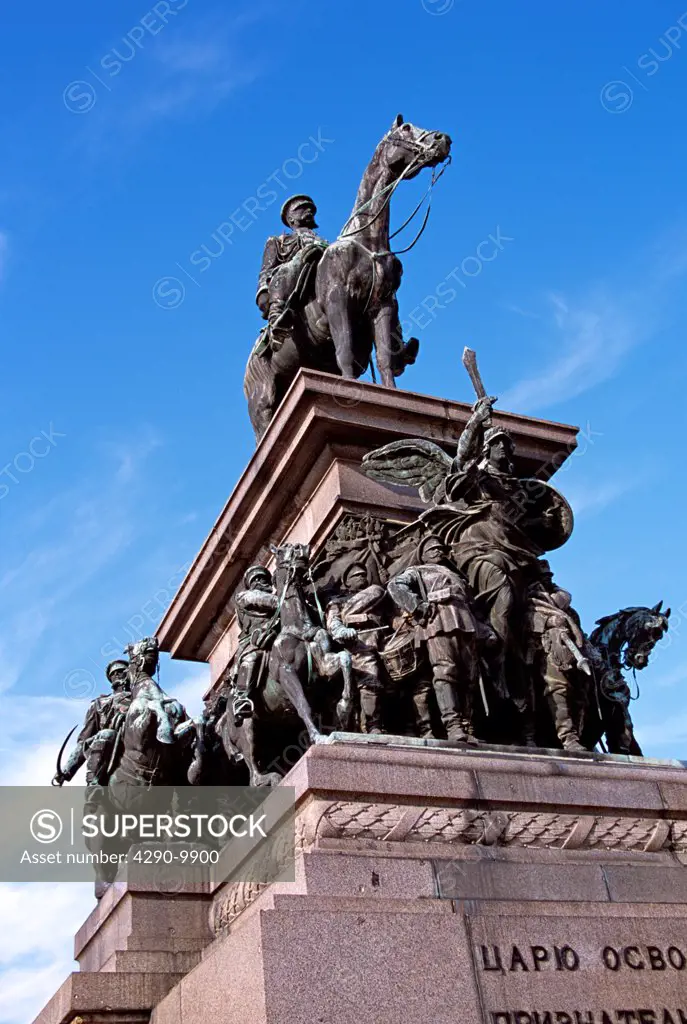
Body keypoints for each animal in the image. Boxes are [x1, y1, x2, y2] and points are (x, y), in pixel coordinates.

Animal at [244, 115, 454, 436]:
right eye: (406, 129)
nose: (442, 139)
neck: (367, 243)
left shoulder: (383, 305)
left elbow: (383, 357)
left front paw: (391, 393)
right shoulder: (337, 302)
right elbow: (343, 346)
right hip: (262, 403)